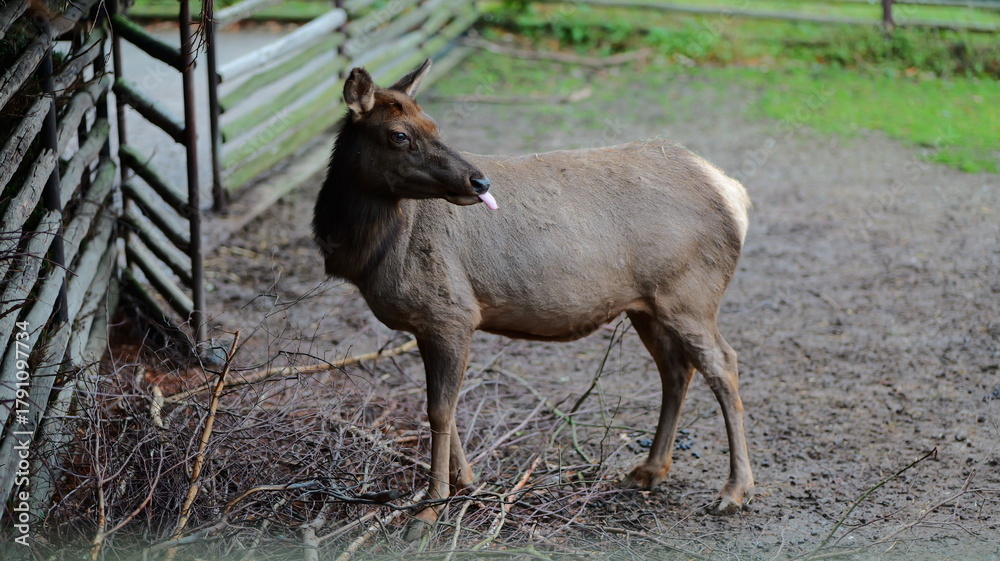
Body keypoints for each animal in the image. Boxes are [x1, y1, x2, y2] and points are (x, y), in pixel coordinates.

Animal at [313, 59, 754, 539]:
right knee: (676, 369)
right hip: (648, 304)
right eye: (398, 134)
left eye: (433, 124)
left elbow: (438, 410)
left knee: (724, 364)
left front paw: (430, 509)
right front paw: (467, 483)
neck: (369, 255)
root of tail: (734, 192)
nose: (478, 180)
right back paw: (650, 470)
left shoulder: (452, 310)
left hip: (691, 293)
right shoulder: (427, 324)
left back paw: (735, 490)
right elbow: (443, 407)